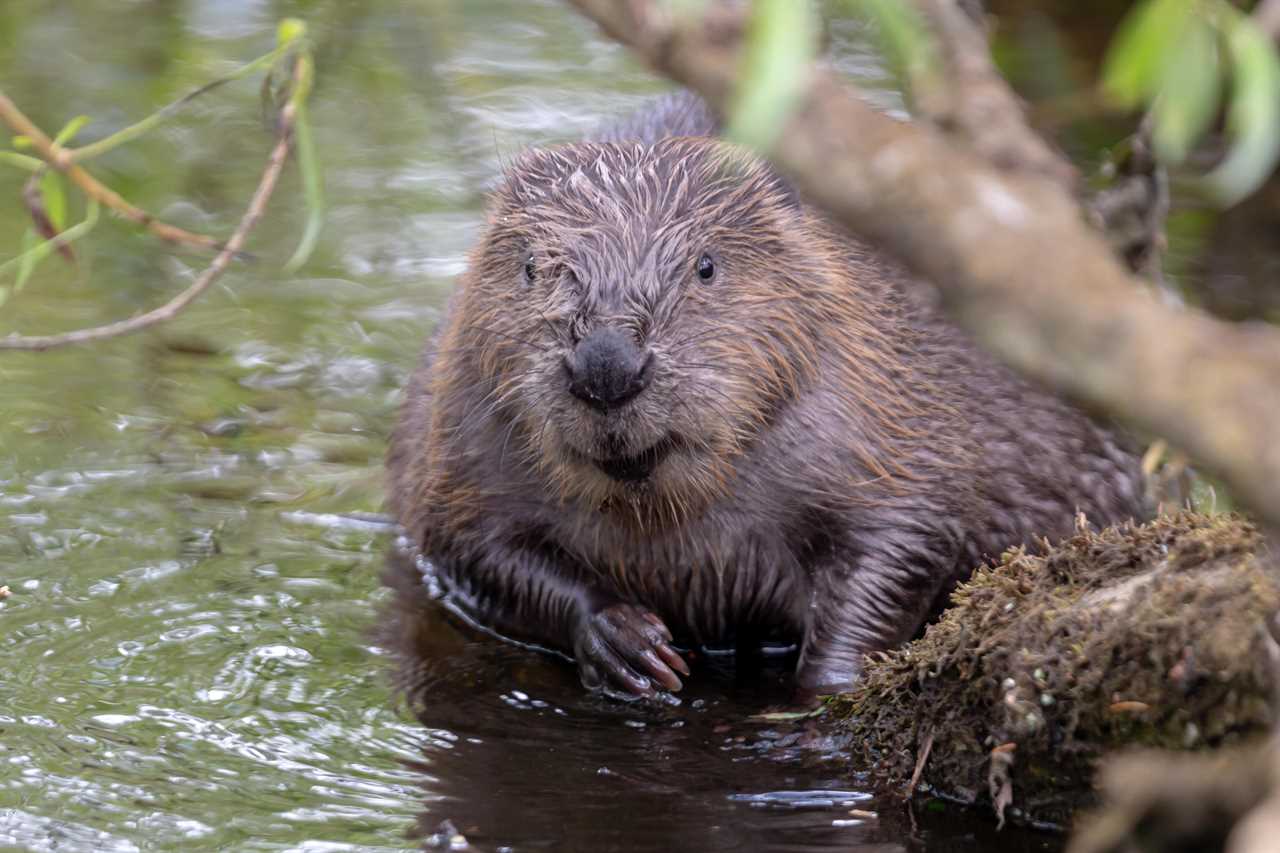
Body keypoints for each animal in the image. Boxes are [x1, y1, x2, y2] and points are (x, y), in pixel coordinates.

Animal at [389, 94, 1152, 696]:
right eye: (530, 267)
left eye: (705, 266)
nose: (607, 365)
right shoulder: (460, 432)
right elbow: (469, 548)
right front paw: (630, 642)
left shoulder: (883, 406)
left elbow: (906, 540)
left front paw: (827, 685)